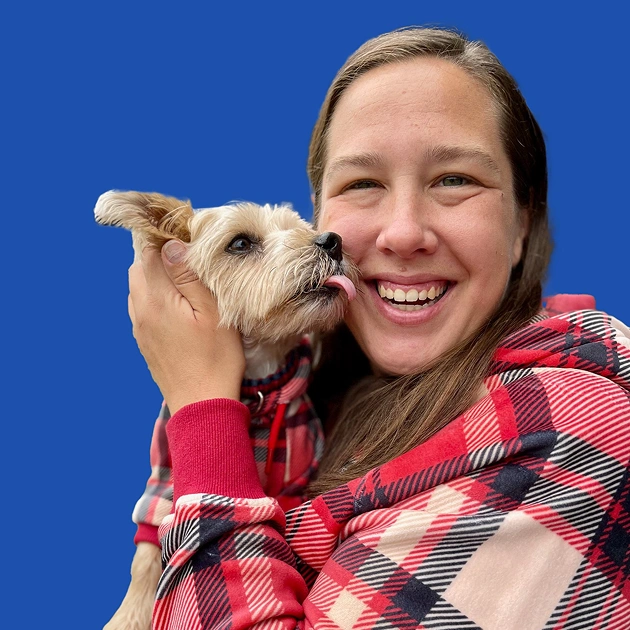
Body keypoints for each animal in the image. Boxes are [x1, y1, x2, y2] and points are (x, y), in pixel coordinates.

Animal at [95, 190, 358, 630]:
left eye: (301, 227)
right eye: (240, 243)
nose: (332, 241)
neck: (257, 387)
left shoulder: (295, 479)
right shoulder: (163, 477)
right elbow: (145, 558)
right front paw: (128, 616)